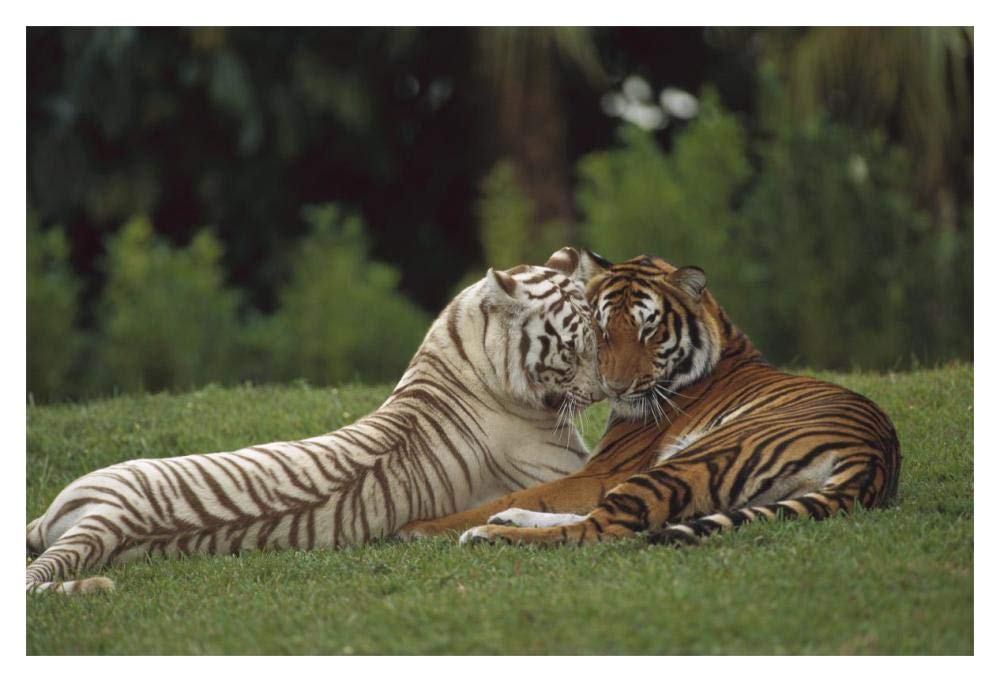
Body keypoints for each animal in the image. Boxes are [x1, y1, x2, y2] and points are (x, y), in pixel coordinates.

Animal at [397, 252, 901, 546]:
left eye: (649, 330)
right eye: (601, 330)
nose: (614, 388)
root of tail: (873, 458)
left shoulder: (606, 470)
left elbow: (532, 491)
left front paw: (422, 527)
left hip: (692, 460)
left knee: (600, 527)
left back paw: (485, 533)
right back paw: (507, 520)